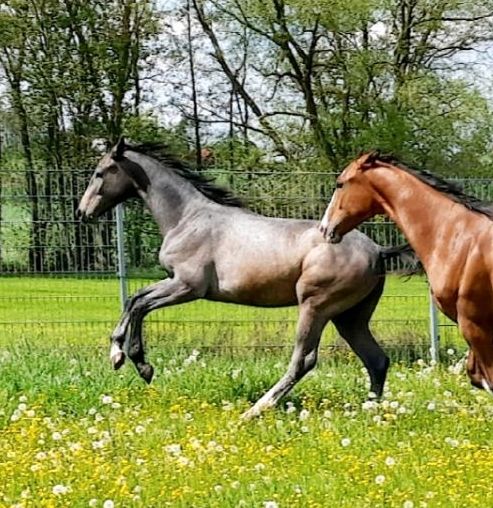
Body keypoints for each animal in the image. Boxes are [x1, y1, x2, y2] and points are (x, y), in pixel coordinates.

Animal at [77, 138, 408, 416]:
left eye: (100, 173)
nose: (82, 213)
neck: (186, 218)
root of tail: (378, 250)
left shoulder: (187, 286)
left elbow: (138, 304)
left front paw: (131, 359)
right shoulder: (174, 282)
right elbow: (134, 299)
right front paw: (125, 357)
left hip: (316, 307)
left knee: (304, 360)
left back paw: (257, 409)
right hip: (350, 317)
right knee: (377, 360)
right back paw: (370, 411)